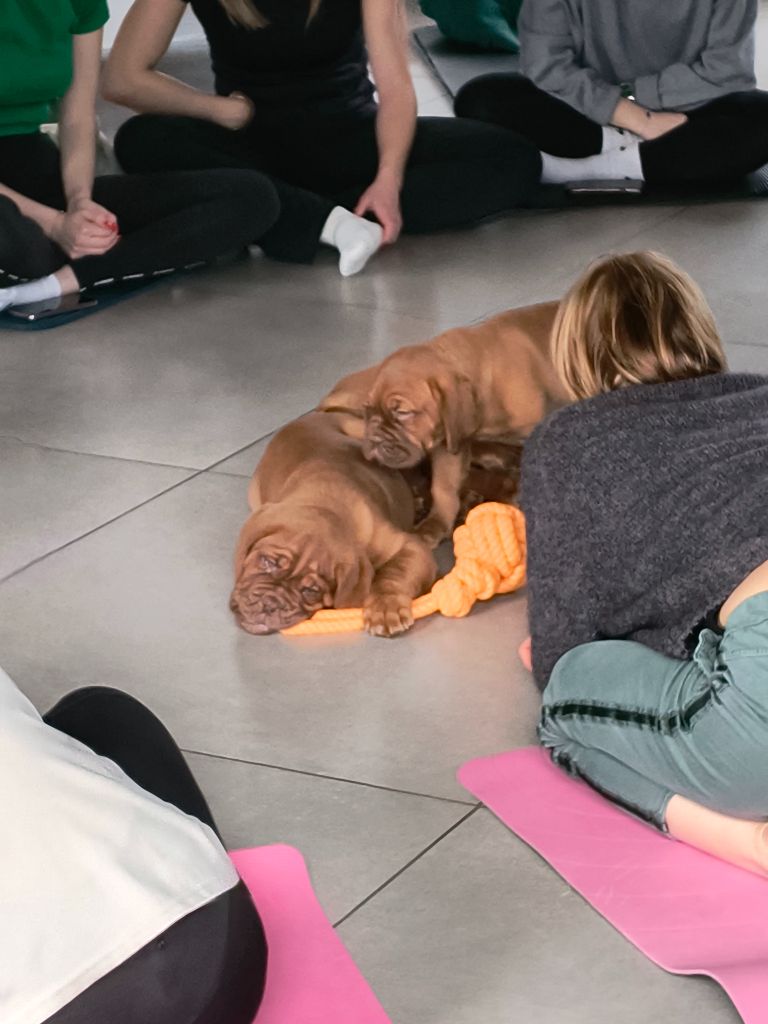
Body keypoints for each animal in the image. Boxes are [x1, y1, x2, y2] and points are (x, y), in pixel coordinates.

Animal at [230, 411, 437, 637]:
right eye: (266, 561)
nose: (270, 604)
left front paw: (386, 607)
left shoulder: (412, 547)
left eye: (311, 591)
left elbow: (393, 574)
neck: (328, 503)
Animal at [320, 302, 565, 546]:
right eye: (368, 409)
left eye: (402, 413)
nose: (372, 439)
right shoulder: (448, 442)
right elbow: (443, 488)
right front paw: (434, 525)